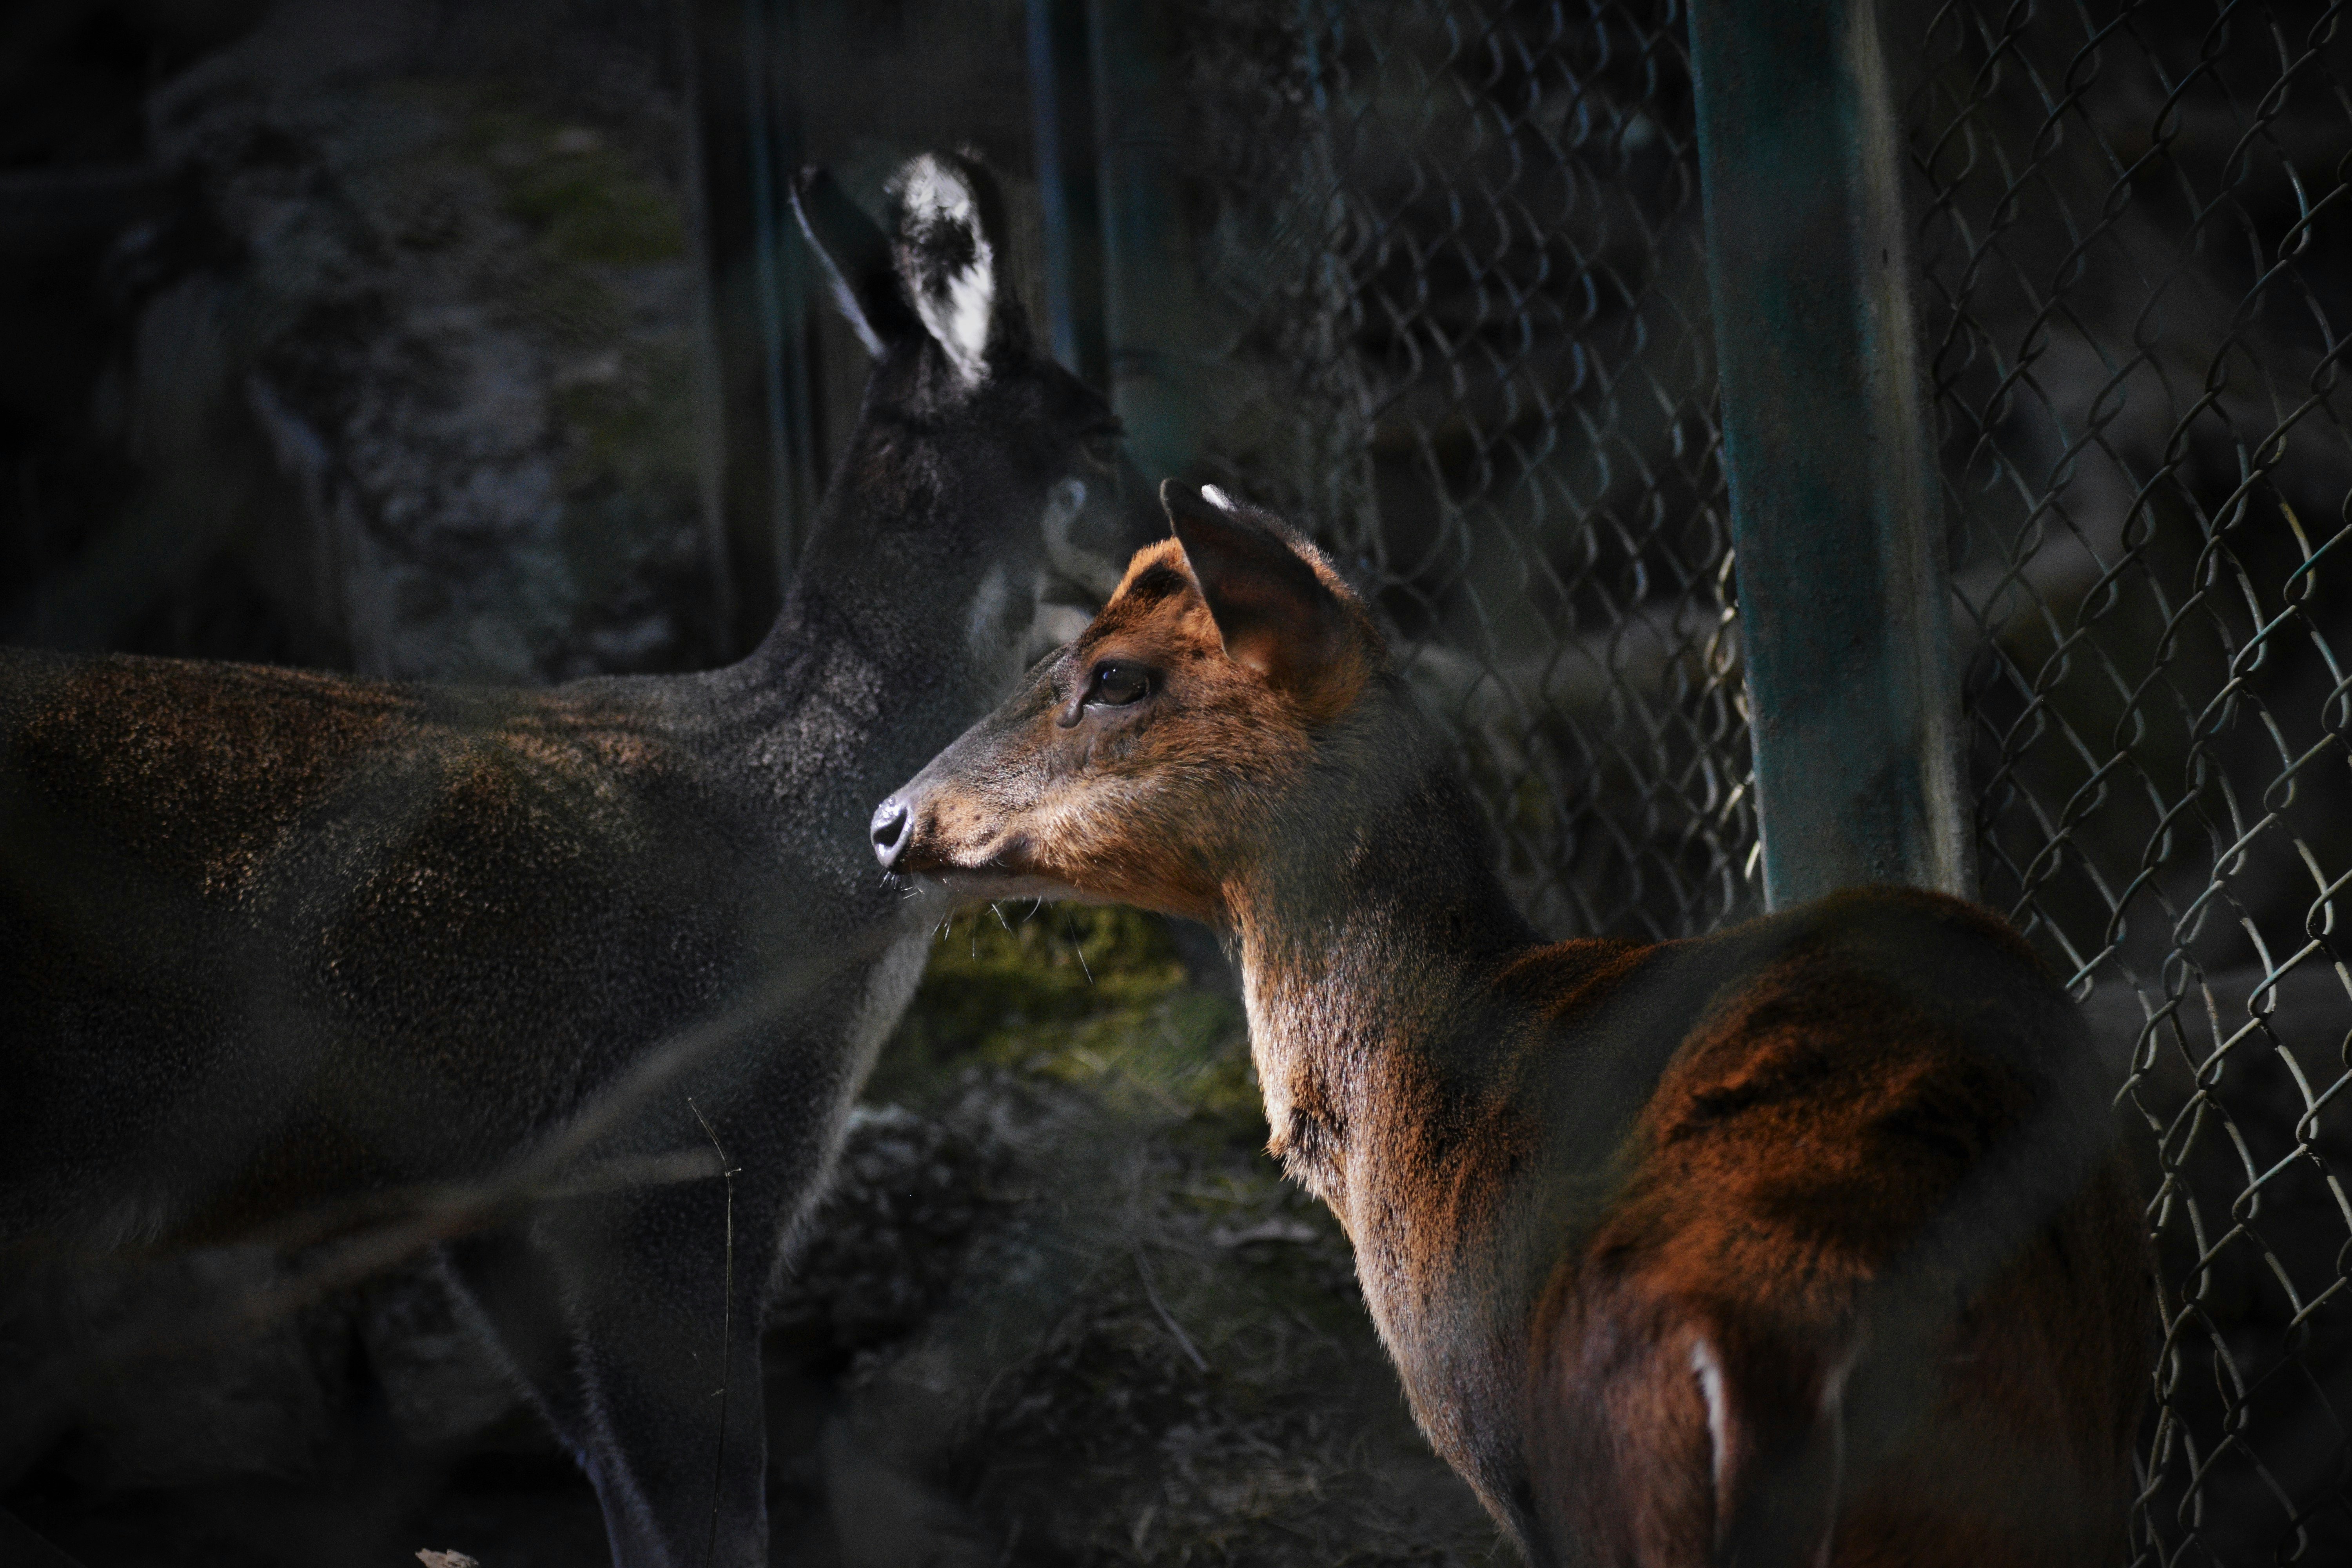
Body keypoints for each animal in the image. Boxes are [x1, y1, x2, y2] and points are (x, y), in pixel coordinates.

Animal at [0, 151, 1154, 1568]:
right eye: (1102, 433)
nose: (1184, 555)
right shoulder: (685, 1142)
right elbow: (706, 1506)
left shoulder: (481, 1185)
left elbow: (614, 1483)